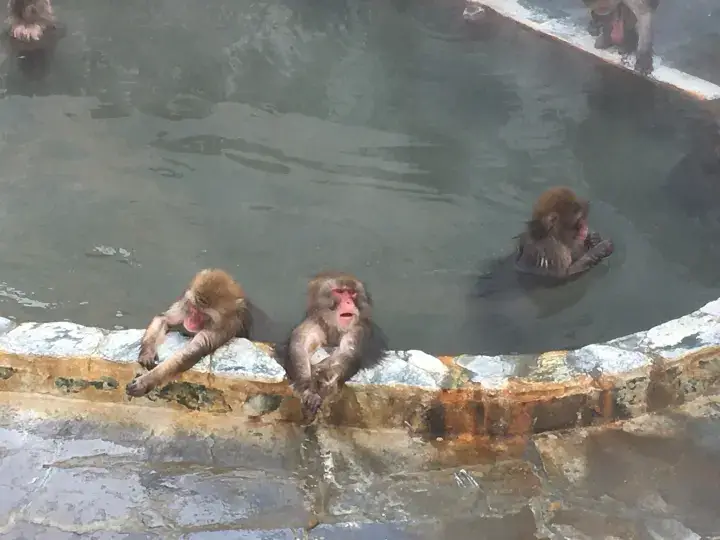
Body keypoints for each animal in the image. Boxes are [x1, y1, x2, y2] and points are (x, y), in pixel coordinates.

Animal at [124, 268, 272, 396]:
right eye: (193, 307)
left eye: (203, 314)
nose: (190, 320)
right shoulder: (185, 305)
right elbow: (164, 318)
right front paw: (147, 353)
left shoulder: (222, 329)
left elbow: (190, 353)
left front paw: (146, 381)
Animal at [278, 272, 388, 420]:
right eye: (339, 292)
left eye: (351, 293)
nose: (348, 302)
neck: (335, 328)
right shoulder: (313, 322)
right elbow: (298, 346)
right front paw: (307, 387)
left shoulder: (358, 330)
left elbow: (347, 352)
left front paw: (321, 377)